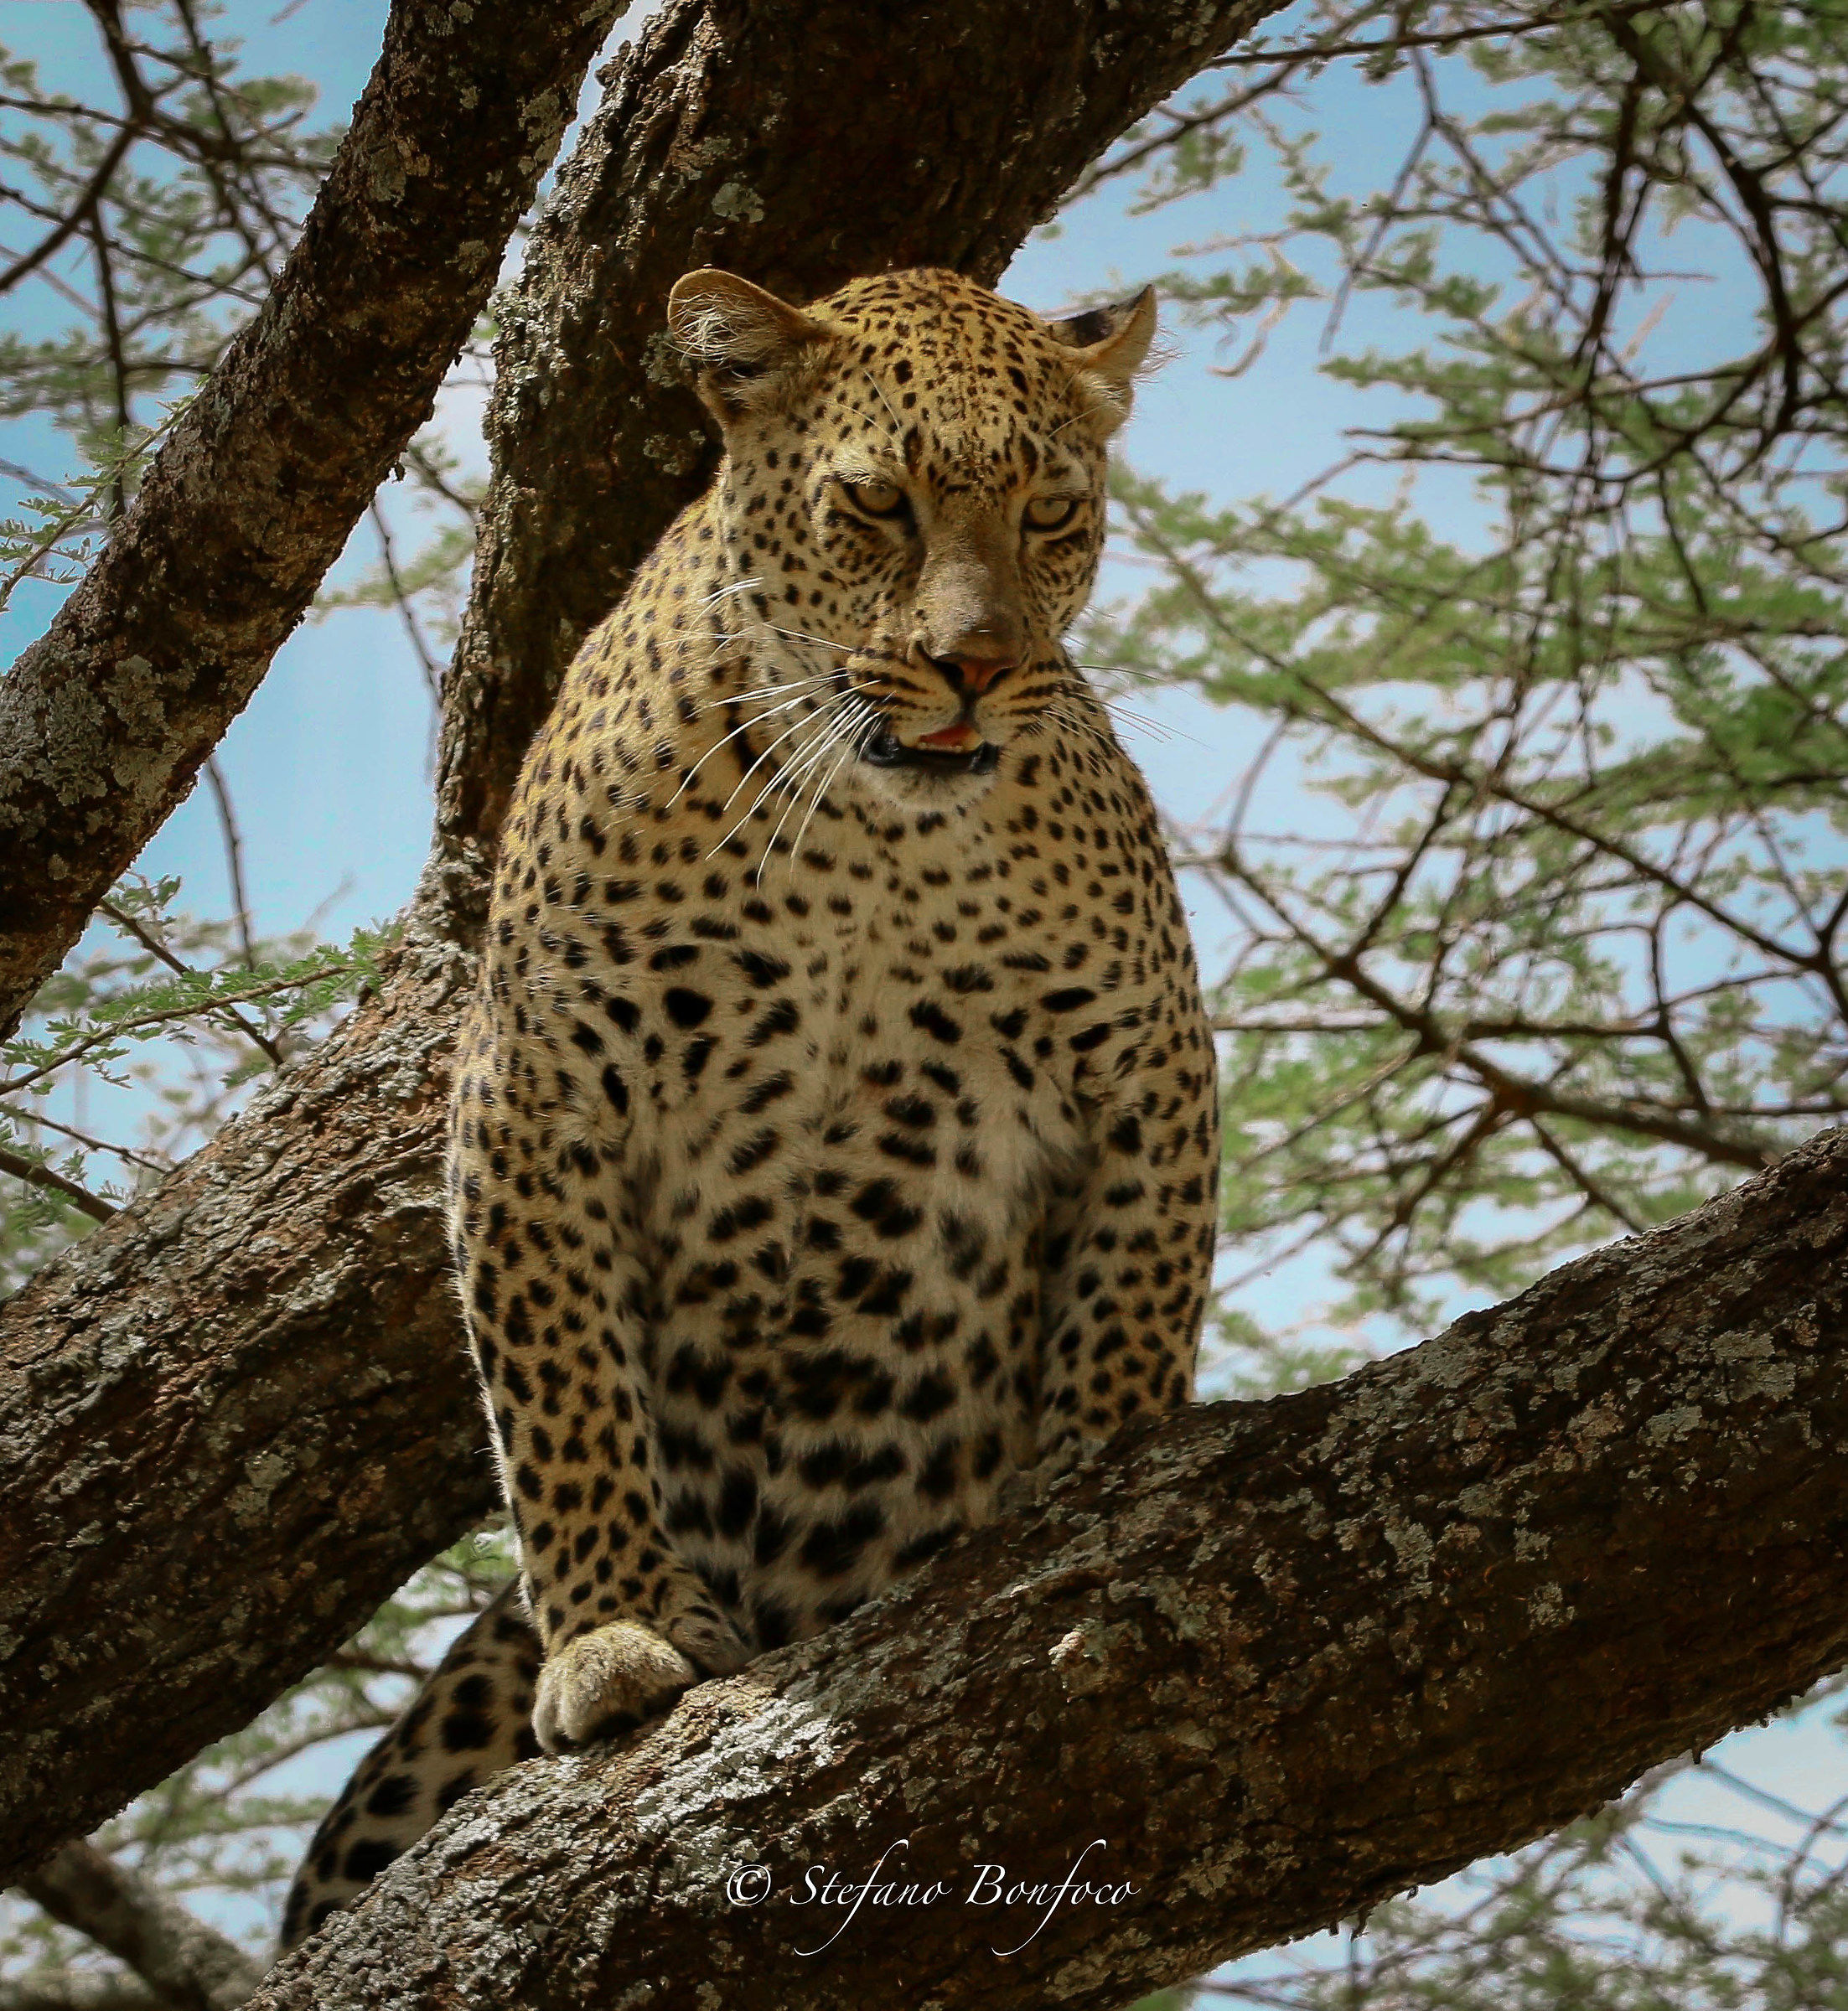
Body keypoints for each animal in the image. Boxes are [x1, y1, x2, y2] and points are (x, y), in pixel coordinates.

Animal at [280, 263, 1219, 1952]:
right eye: (879, 505)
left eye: (1051, 512)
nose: (979, 665)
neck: (872, 831)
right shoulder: (537, 1078)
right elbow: (560, 1385)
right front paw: (617, 1633)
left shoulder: (1148, 1058)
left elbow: (1131, 1308)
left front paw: (1092, 1480)